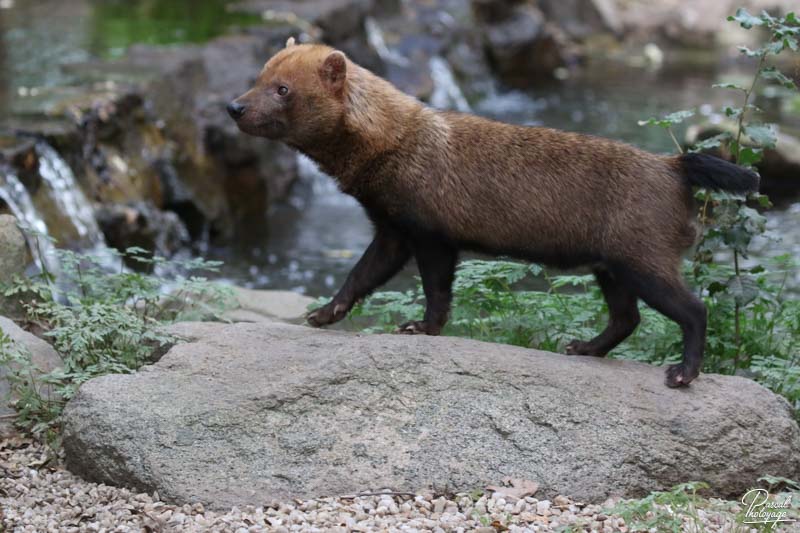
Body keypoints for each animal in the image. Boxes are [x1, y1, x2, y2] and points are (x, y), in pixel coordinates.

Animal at [228, 38, 760, 386]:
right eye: (257, 76)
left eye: (282, 88)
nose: (233, 106)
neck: (399, 145)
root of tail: (673, 165)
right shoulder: (391, 225)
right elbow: (361, 275)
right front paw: (322, 314)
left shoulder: (429, 229)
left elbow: (436, 288)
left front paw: (419, 327)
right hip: (611, 264)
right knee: (626, 318)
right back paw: (582, 347)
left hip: (642, 255)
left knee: (693, 309)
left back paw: (683, 373)